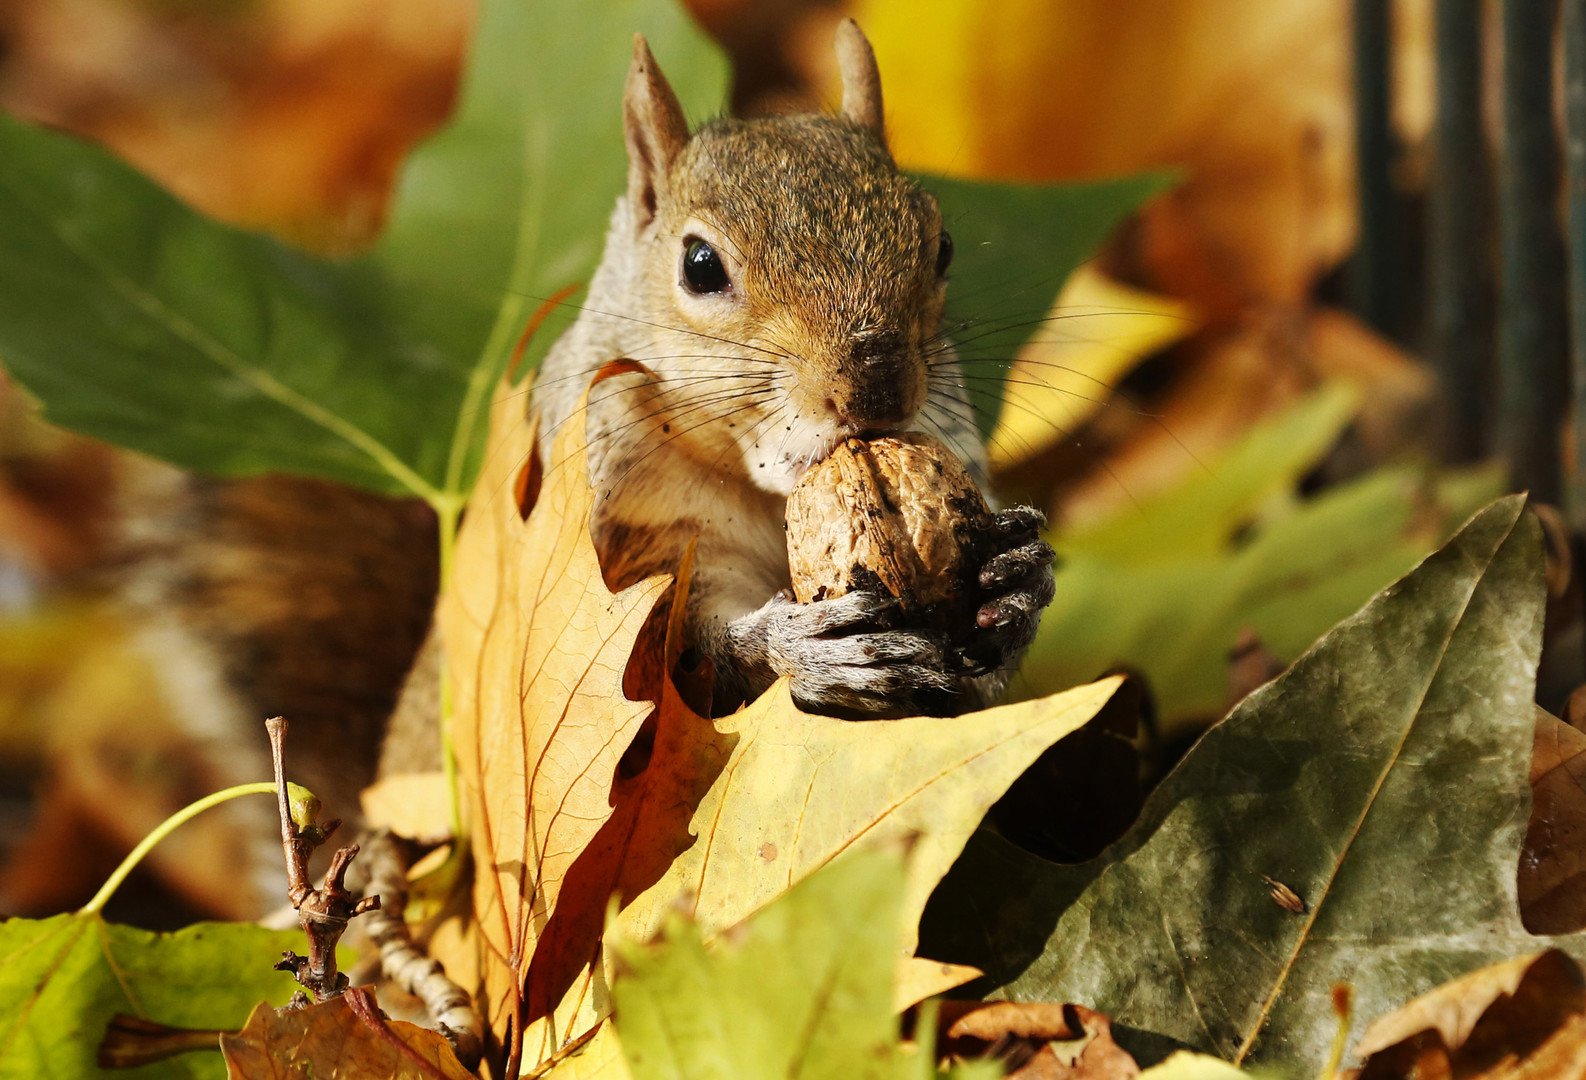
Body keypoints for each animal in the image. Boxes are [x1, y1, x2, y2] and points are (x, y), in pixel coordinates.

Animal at [120, 21, 1053, 856]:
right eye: (700, 266)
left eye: (941, 244)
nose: (877, 385)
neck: (760, 486)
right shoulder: (618, 539)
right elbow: (665, 668)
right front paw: (803, 648)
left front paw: (1017, 580)